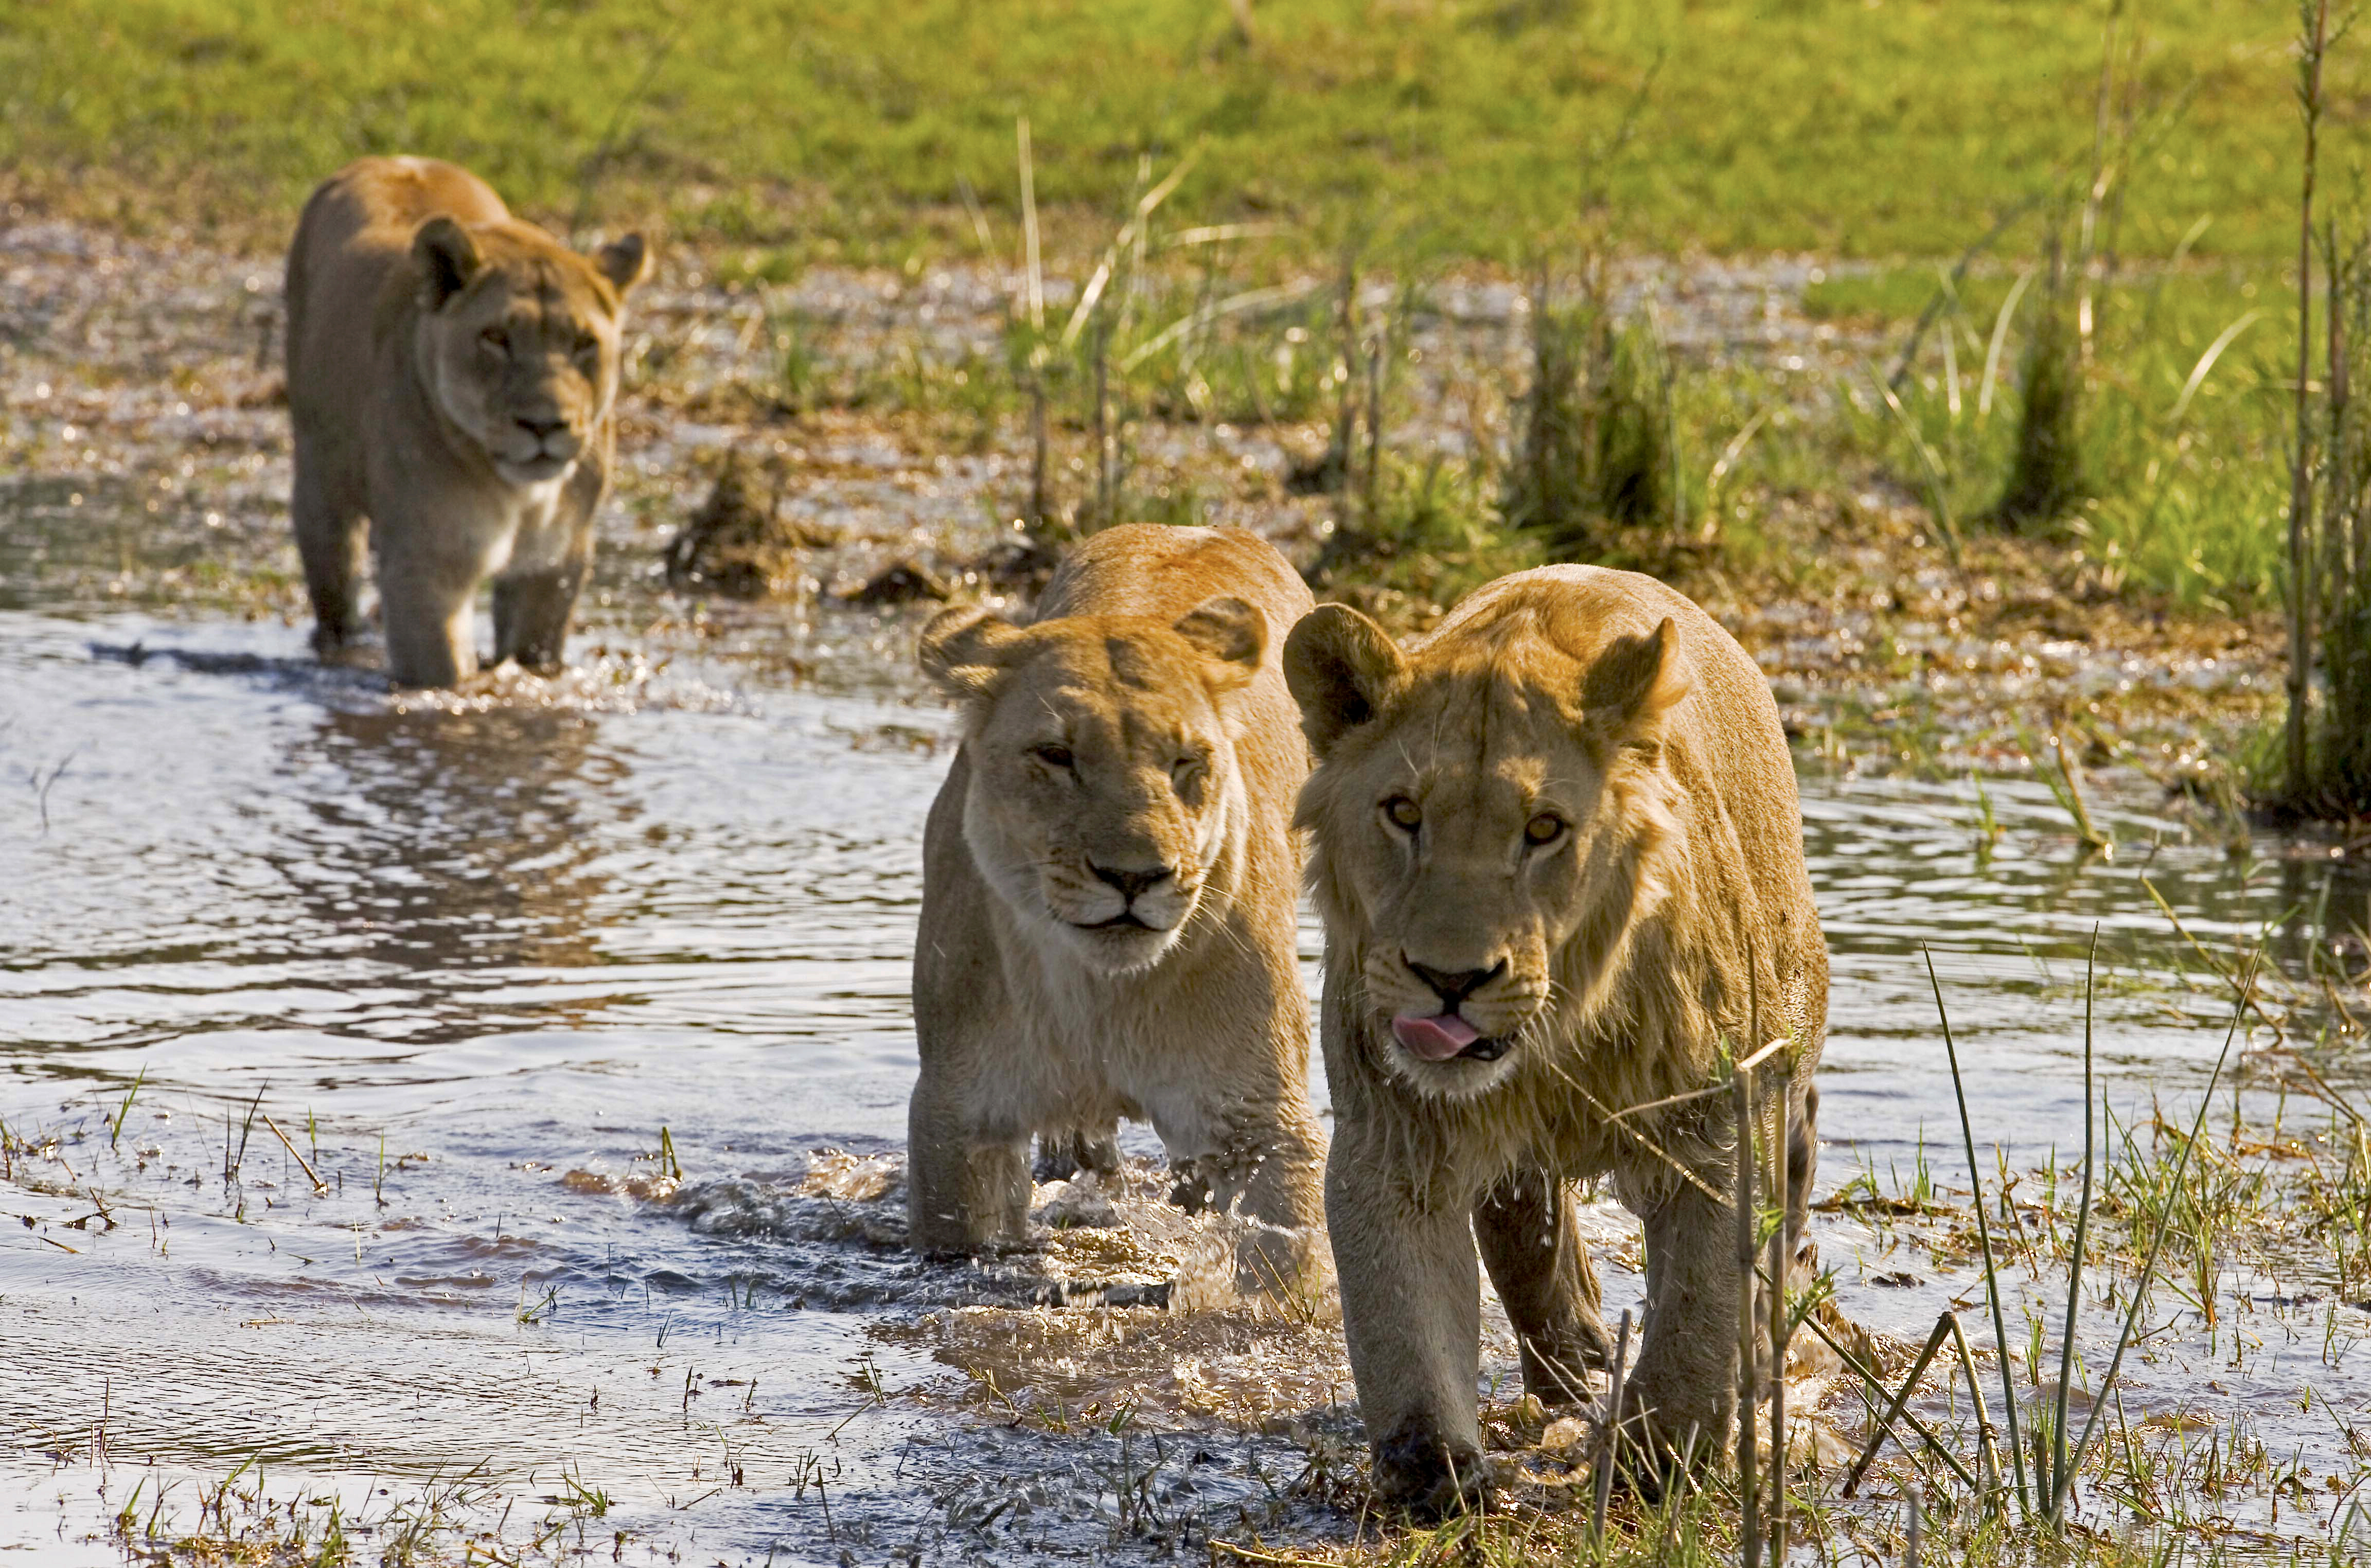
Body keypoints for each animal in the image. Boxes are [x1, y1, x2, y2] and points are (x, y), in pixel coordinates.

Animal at [284, 156, 651, 688]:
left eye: (584, 343)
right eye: (496, 338)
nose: (545, 426)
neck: (520, 494)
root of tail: (393, 159)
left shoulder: (555, 562)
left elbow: (534, 657)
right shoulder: (427, 563)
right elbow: (442, 674)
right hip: (321, 492)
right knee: (335, 595)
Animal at [910, 524, 1327, 1294]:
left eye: (1188, 761)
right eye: (1056, 755)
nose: (1136, 877)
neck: (1098, 995)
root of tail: (1187, 526)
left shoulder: (1266, 1119)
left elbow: (1285, 1262)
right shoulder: (956, 1115)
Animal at [1283, 565, 1827, 1513]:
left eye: (1542, 830)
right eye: (1402, 813)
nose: (1450, 978)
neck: (1558, 1035)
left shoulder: (1718, 1125)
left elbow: (1699, 1310)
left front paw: (1659, 1464)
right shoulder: (1395, 1130)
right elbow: (1404, 1313)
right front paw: (1435, 1476)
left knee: (1787, 1191)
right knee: (1523, 1230)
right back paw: (1574, 1367)